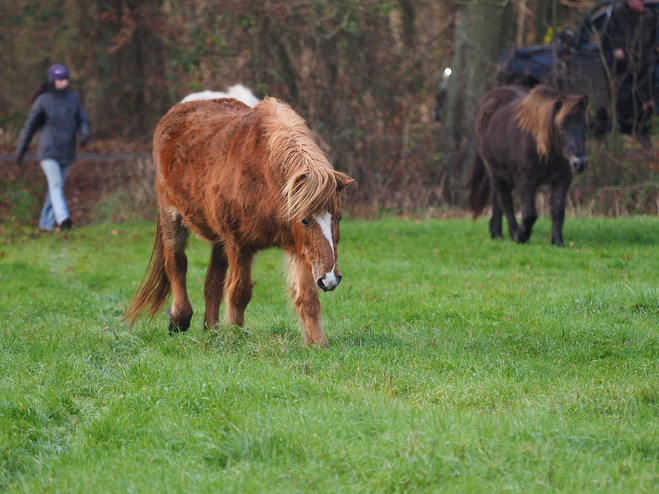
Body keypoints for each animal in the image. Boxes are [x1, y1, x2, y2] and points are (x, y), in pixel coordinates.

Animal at [123, 94, 354, 346]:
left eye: (339, 217)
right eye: (304, 220)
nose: (330, 279)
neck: (263, 175)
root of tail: (180, 109)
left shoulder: (298, 247)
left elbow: (307, 297)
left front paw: (317, 344)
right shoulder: (239, 244)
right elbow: (239, 293)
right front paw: (234, 336)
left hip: (218, 240)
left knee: (212, 281)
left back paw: (212, 330)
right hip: (172, 216)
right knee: (176, 264)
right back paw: (180, 319)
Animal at [470, 86, 588, 247]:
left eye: (585, 126)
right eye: (561, 127)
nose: (580, 163)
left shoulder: (562, 179)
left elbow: (557, 210)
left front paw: (557, 242)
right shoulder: (526, 180)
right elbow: (529, 214)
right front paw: (521, 237)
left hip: (506, 176)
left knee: (498, 199)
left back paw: (497, 233)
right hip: (494, 171)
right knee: (505, 200)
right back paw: (512, 233)